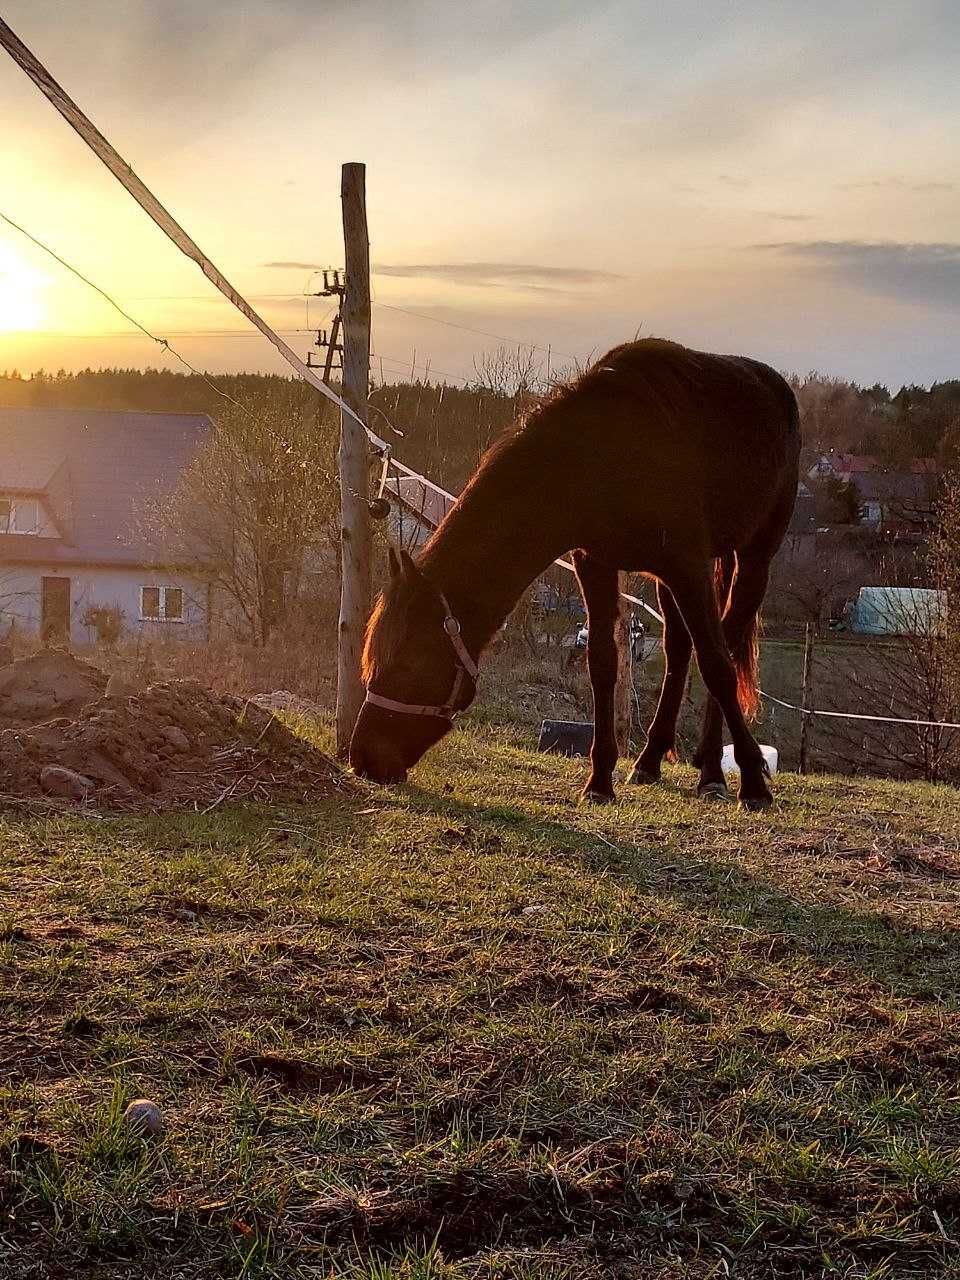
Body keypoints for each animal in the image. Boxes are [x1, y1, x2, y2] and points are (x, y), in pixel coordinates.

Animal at [350, 335, 798, 803]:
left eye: (410, 665)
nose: (362, 757)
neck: (595, 460)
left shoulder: (686, 564)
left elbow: (716, 665)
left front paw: (753, 781)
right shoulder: (597, 563)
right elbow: (602, 662)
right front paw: (600, 779)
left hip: (753, 558)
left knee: (725, 643)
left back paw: (712, 768)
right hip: (669, 580)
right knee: (677, 648)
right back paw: (650, 759)